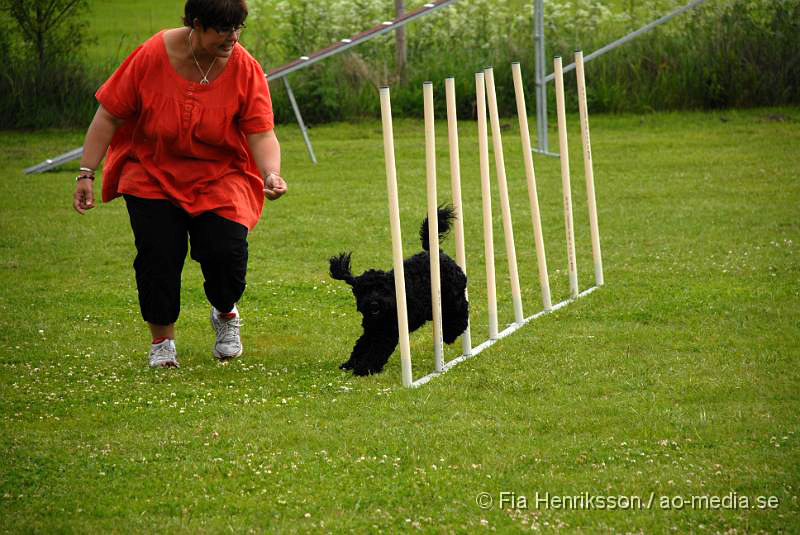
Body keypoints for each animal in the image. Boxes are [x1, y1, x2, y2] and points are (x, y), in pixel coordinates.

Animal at [330, 206, 468, 376]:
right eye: (364, 290)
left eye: (382, 289)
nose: (374, 303)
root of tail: (438, 253)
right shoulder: (371, 330)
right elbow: (360, 346)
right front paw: (349, 364)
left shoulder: (387, 333)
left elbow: (376, 352)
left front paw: (364, 368)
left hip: (453, 296)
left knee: (462, 310)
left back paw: (451, 333)